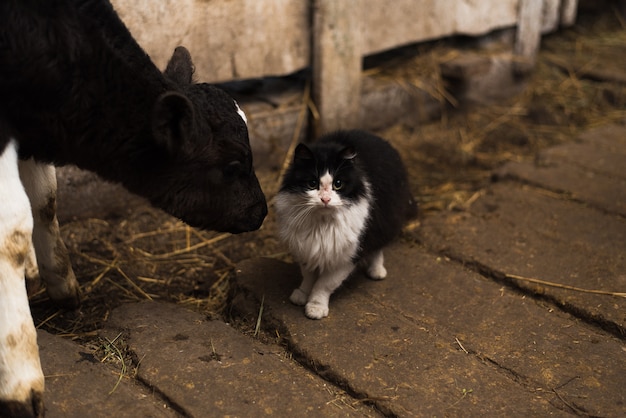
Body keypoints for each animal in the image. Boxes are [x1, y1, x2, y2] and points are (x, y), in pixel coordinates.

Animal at [274, 131, 414, 320]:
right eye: (312, 184)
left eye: (338, 184)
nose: (325, 199)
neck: (322, 223)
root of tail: (379, 139)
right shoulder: (306, 248)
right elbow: (308, 276)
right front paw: (302, 295)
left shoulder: (346, 256)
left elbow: (324, 284)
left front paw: (315, 307)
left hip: (385, 220)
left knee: (378, 248)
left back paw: (376, 271)